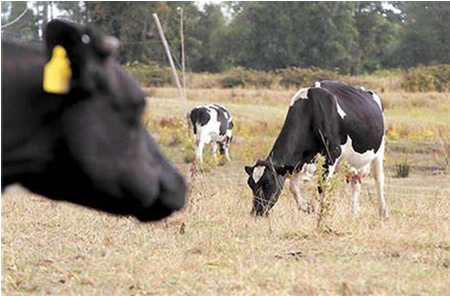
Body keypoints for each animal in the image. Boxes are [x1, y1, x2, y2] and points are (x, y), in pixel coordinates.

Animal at [244, 80, 388, 217]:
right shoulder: (299, 161)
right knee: (356, 182)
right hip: (353, 162)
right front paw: (307, 207)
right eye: (250, 184)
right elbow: (293, 187)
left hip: (379, 152)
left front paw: (322, 213)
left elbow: (322, 187)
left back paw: (383, 212)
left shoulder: (332, 154)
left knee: (379, 179)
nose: (256, 212)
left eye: (268, 183)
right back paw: (354, 212)